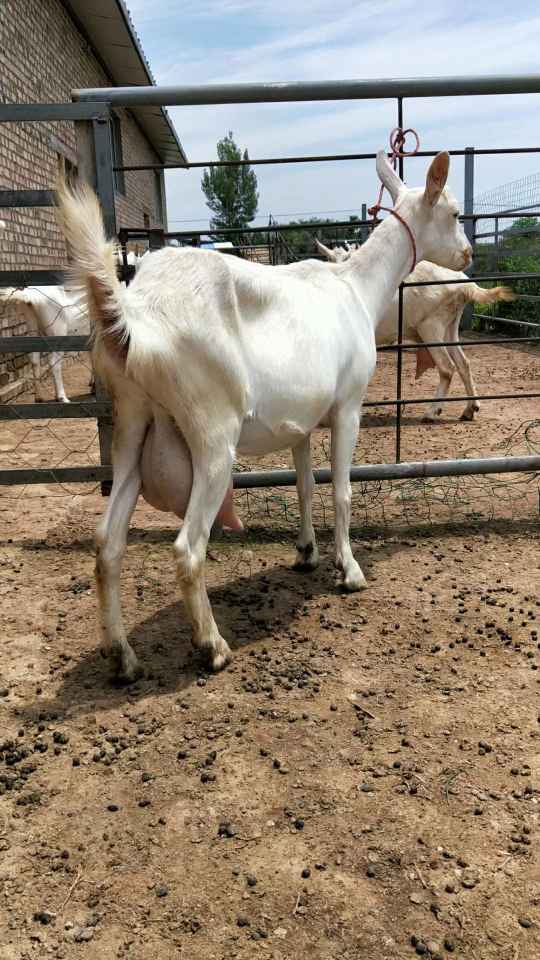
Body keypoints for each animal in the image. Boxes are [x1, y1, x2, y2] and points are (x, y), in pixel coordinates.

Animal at [56, 152, 472, 684]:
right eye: (455, 214)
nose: (467, 256)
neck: (357, 288)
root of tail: (135, 316)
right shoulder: (348, 406)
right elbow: (341, 491)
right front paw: (350, 570)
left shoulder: (301, 420)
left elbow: (305, 486)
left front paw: (306, 553)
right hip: (212, 432)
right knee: (187, 548)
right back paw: (212, 646)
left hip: (131, 424)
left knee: (106, 543)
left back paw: (123, 658)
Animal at [316, 240, 516, 420]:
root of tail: (465, 284)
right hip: (450, 326)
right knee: (463, 363)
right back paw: (470, 408)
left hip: (431, 325)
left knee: (447, 367)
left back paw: (432, 412)